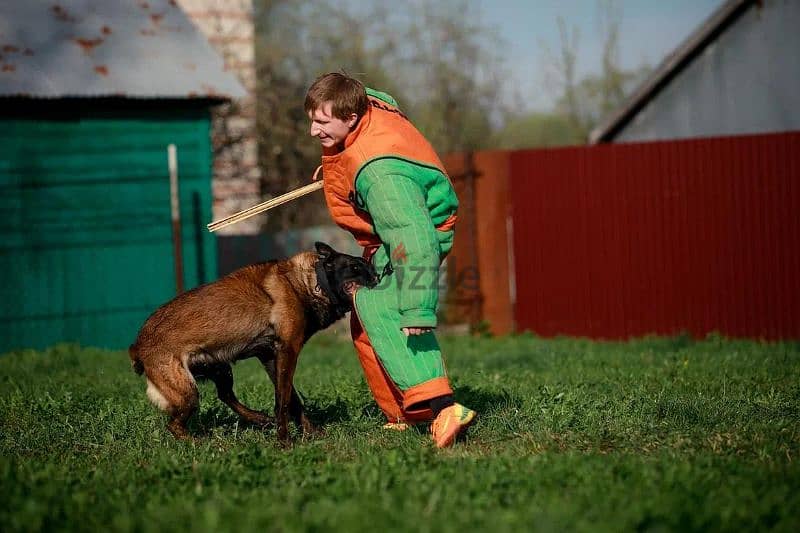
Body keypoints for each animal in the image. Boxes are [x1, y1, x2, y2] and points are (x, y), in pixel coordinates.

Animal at [129, 243, 378, 442]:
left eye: (370, 268)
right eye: (355, 267)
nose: (377, 276)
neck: (309, 282)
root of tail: (137, 345)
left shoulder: (270, 356)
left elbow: (293, 401)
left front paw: (310, 433)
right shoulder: (287, 351)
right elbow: (283, 402)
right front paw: (285, 442)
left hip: (220, 368)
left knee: (225, 395)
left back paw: (259, 419)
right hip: (187, 392)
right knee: (174, 424)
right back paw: (198, 442)